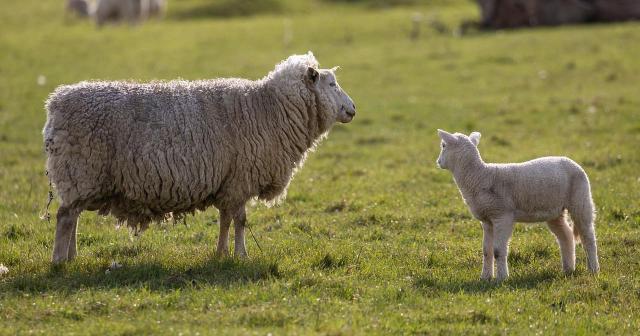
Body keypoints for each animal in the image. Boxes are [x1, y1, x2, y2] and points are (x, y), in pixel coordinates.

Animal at [43, 51, 358, 262]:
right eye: (331, 85)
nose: (353, 109)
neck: (268, 109)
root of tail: (55, 103)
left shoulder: (228, 182)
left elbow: (225, 219)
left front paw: (221, 253)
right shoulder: (241, 179)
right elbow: (240, 220)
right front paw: (241, 255)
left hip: (81, 178)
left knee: (72, 216)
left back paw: (72, 256)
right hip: (80, 170)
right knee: (65, 217)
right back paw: (59, 261)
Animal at [438, 130, 596, 280]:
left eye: (443, 146)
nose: (438, 161)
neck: (479, 176)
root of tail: (572, 161)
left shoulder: (502, 215)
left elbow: (498, 251)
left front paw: (502, 278)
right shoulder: (487, 220)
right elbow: (486, 251)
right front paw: (485, 278)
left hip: (580, 199)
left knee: (588, 236)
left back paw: (593, 269)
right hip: (555, 211)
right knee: (566, 236)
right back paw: (568, 269)